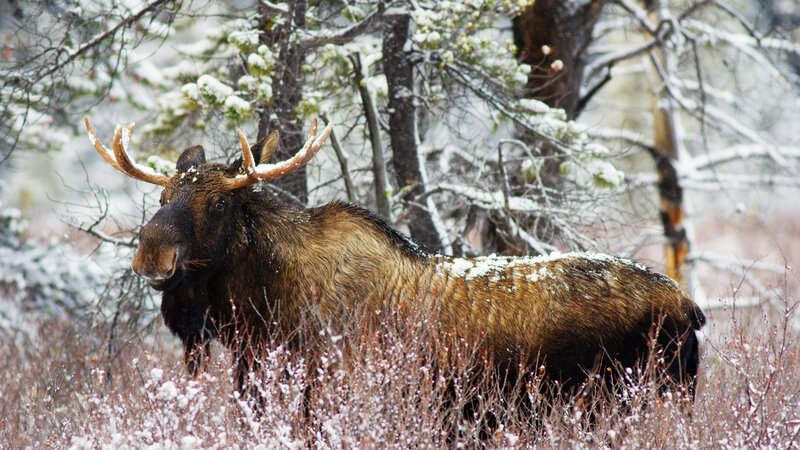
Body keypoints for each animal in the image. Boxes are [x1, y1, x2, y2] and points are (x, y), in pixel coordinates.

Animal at [84, 116, 705, 409]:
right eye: (161, 199)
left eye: (218, 203)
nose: (152, 256)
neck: (257, 310)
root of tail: (690, 307)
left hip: (639, 398)